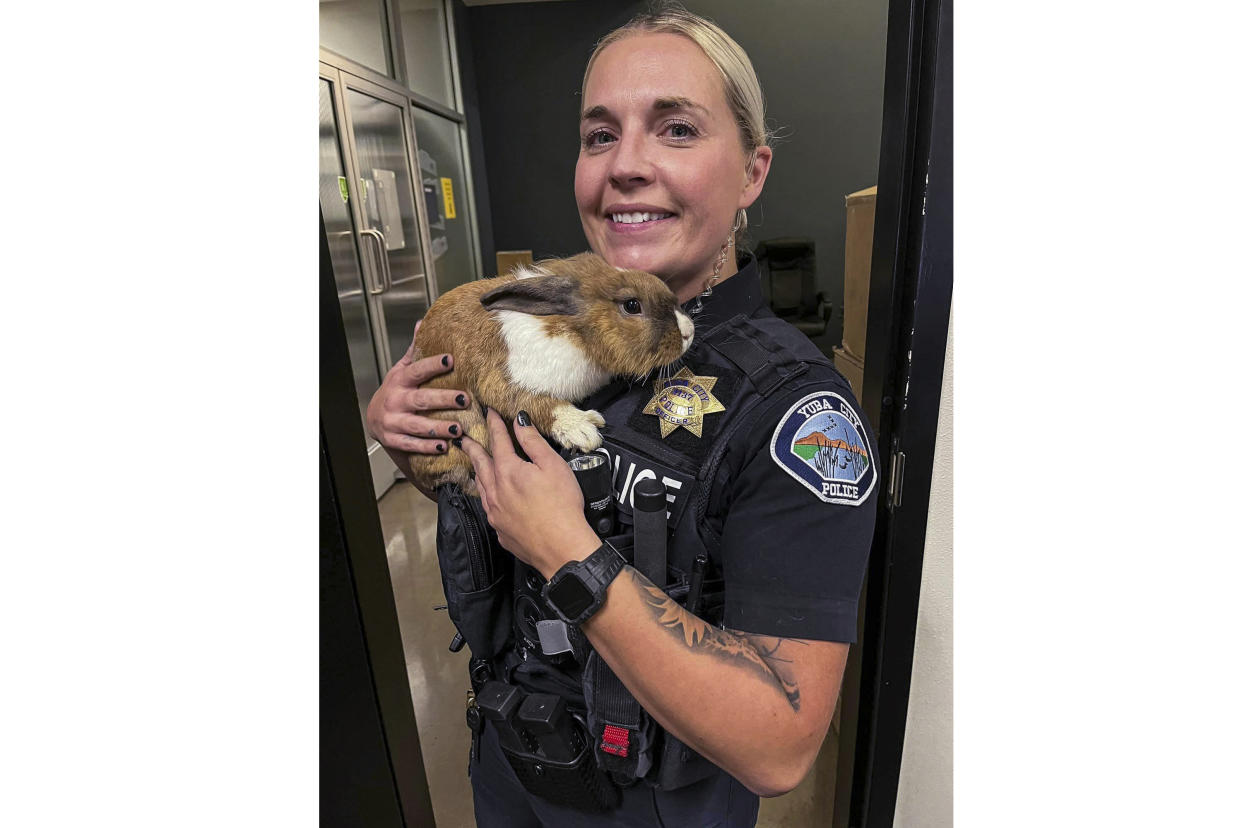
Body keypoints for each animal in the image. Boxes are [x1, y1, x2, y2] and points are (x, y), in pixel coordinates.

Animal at [409, 253, 695, 496]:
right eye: (632, 305)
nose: (689, 332)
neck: (578, 334)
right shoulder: (504, 379)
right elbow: (533, 403)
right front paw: (582, 429)